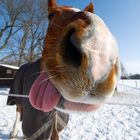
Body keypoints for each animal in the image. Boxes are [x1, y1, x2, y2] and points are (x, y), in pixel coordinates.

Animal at [6, 0, 120, 139]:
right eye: (51, 15)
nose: (98, 61)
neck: (53, 112)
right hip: (17, 100)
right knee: (18, 113)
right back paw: (13, 132)